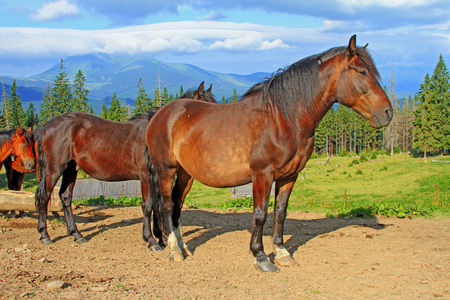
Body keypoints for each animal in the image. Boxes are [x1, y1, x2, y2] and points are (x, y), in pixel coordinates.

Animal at [33, 81, 214, 247]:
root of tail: (48, 125)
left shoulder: (156, 178)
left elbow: (157, 205)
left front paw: (160, 238)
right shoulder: (146, 176)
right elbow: (148, 205)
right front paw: (150, 240)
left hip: (71, 169)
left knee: (65, 197)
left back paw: (76, 234)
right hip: (54, 169)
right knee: (44, 196)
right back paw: (45, 235)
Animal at [145, 35, 394, 272]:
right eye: (362, 71)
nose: (387, 112)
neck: (283, 118)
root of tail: (160, 114)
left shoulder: (289, 176)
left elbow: (280, 212)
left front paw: (282, 253)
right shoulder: (262, 175)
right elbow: (260, 213)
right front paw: (261, 256)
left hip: (186, 174)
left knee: (177, 204)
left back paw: (183, 247)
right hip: (166, 170)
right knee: (167, 205)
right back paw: (174, 250)